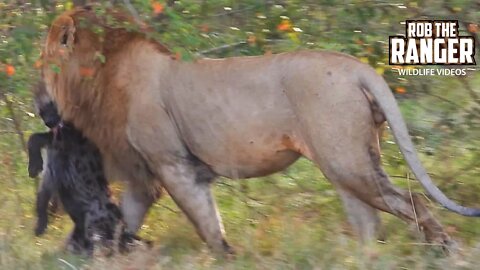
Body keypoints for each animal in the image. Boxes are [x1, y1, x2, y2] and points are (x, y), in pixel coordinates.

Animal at [40, 7, 480, 254]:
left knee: (412, 202)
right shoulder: (142, 174)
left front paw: (226, 257)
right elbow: (125, 219)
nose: (41, 107)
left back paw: (445, 251)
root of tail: (358, 68)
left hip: (348, 161)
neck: (96, 75)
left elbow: (205, 221)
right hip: (344, 165)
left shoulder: (173, 164)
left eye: (41, 65)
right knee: (371, 224)